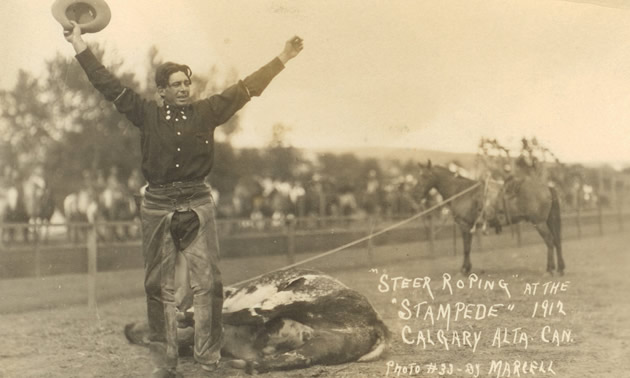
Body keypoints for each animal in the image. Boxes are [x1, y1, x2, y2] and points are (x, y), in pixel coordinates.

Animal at [418, 159, 564, 274]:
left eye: (425, 176)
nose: (416, 194)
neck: (460, 191)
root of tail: (547, 187)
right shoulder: (469, 226)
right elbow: (468, 247)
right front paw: (467, 268)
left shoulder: (464, 225)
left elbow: (466, 248)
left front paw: (464, 269)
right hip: (548, 221)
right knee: (556, 241)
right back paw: (560, 268)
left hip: (539, 223)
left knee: (550, 241)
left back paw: (549, 269)